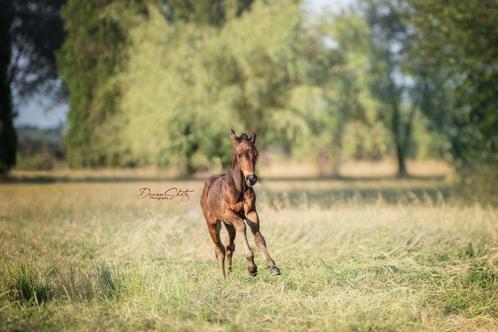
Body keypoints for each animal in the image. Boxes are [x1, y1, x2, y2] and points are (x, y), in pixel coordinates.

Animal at [201, 129, 280, 278]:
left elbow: (259, 238)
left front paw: (273, 267)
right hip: (213, 223)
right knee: (219, 249)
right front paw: (252, 267)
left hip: (228, 225)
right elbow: (242, 226)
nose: (251, 178)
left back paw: (230, 273)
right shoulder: (228, 214)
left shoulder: (251, 213)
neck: (239, 188)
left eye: (256, 153)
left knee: (229, 246)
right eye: (239, 154)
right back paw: (224, 277)